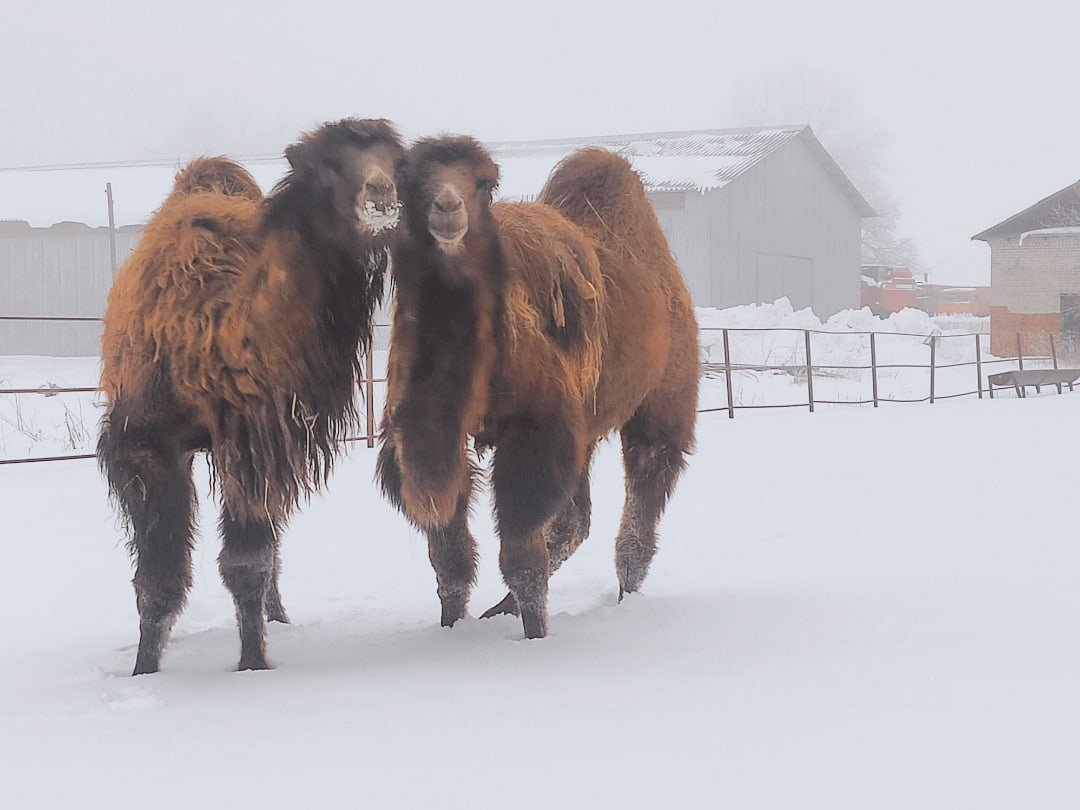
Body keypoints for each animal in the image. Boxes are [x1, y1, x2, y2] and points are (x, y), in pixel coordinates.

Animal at [99, 117, 403, 673]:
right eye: (325, 164)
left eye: (399, 161)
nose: (381, 194)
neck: (212, 327)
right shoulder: (146, 445)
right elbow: (157, 579)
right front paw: (144, 670)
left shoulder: (256, 439)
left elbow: (248, 563)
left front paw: (254, 665)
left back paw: (278, 616)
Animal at [378, 136, 699, 639]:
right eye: (406, 180)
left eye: (486, 184)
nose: (447, 209)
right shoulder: (415, 438)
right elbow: (449, 557)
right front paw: (452, 628)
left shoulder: (535, 433)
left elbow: (521, 554)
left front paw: (535, 635)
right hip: (584, 431)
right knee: (575, 521)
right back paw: (499, 609)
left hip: (661, 407)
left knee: (639, 505)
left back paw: (623, 599)